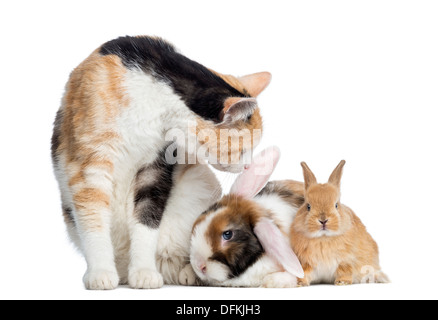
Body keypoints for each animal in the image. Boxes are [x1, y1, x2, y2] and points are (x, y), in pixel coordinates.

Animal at [51, 35, 270, 290]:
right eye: (244, 149)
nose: (247, 166)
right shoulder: (90, 166)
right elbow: (93, 221)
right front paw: (100, 272)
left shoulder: (155, 165)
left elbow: (147, 219)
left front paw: (144, 271)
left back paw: (187, 272)